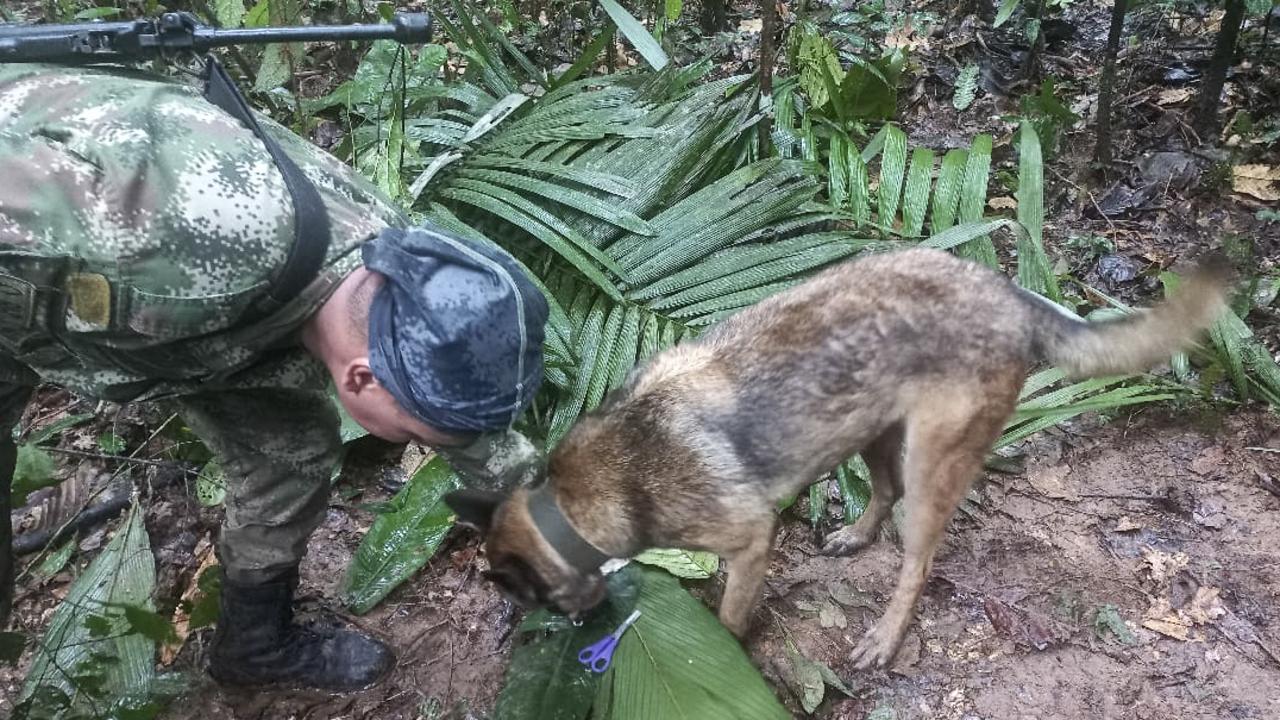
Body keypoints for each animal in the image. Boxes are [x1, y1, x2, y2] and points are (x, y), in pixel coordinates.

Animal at [448, 245, 1228, 666]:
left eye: (526, 598)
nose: (577, 631)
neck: (572, 503)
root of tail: (1009, 294)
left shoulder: (749, 540)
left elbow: (729, 616)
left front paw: (723, 649)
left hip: (931, 462)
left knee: (917, 560)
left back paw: (885, 634)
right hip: (872, 431)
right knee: (882, 493)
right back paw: (855, 535)